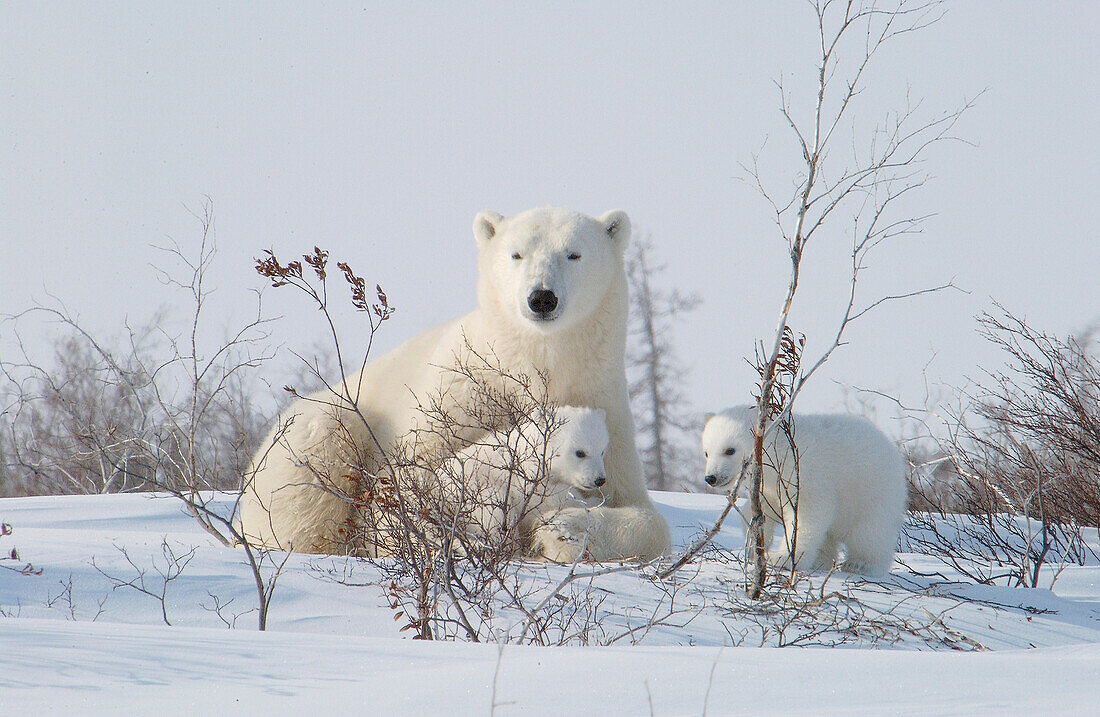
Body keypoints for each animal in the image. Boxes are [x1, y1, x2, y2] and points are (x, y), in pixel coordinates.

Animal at [437, 406, 611, 563]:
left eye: (602, 451)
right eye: (580, 453)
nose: (599, 479)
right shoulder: (525, 481)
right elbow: (550, 500)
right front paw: (593, 501)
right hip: (475, 493)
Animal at [704, 406, 902, 576]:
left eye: (730, 450)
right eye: (707, 452)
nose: (711, 478)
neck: (783, 449)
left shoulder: (805, 474)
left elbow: (807, 514)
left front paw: (782, 558)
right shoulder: (770, 486)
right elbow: (762, 510)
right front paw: (753, 548)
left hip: (874, 494)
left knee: (869, 534)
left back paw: (860, 564)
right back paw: (821, 561)